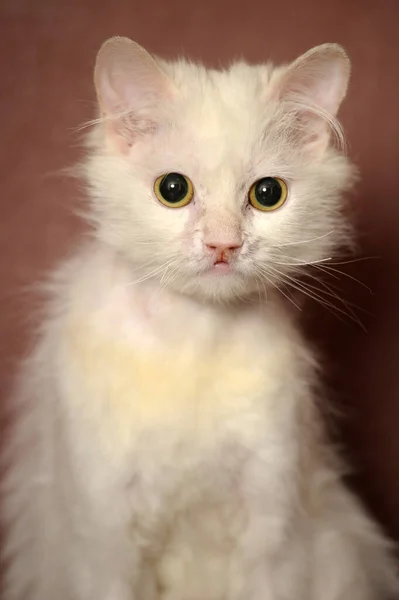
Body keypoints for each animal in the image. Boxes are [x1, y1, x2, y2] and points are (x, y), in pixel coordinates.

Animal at [1, 37, 398, 600]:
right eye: (173, 189)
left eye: (268, 194)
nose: (223, 245)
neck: (192, 339)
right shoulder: (103, 538)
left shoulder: (273, 529)